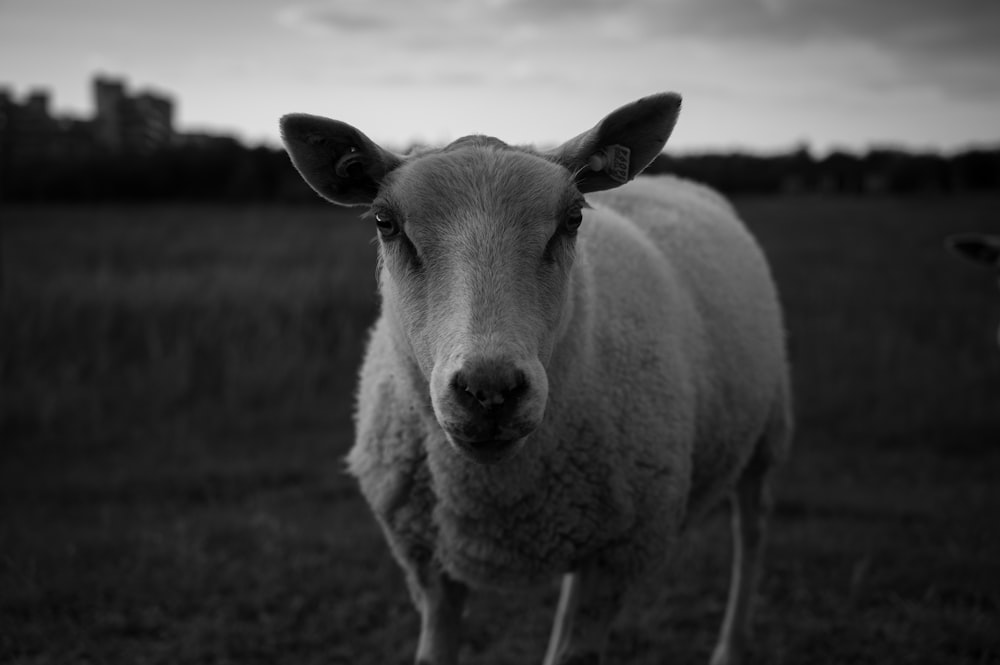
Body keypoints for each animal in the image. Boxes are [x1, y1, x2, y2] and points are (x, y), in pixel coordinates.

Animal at [280, 93, 788, 664]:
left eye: (573, 219)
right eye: (386, 222)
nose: (489, 391)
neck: (496, 492)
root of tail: (677, 179)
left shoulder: (619, 555)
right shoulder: (427, 560)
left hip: (768, 431)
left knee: (752, 532)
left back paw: (731, 645)